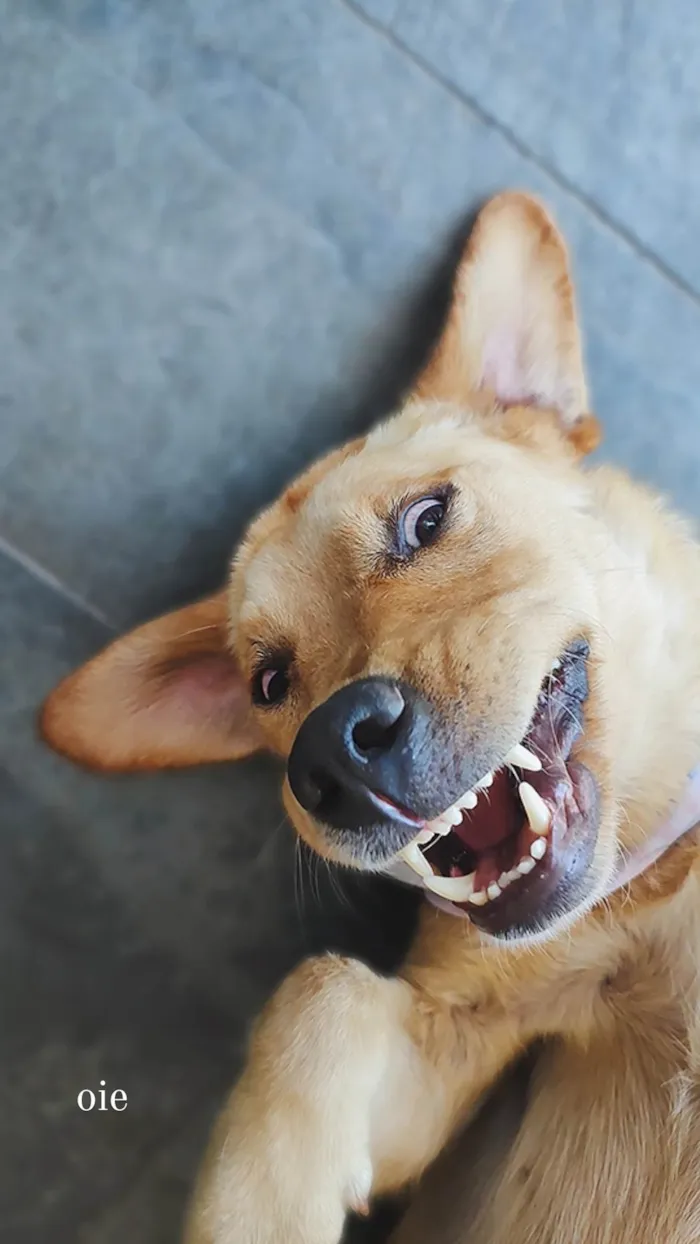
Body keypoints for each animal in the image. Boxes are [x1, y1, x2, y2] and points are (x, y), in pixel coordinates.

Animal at [39, 196, 700, 1244]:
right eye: (269, 682)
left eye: (427, 520)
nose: (329, 763)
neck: (647, 881)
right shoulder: (451, 1054)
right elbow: (318, 993)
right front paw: (261, 1207)